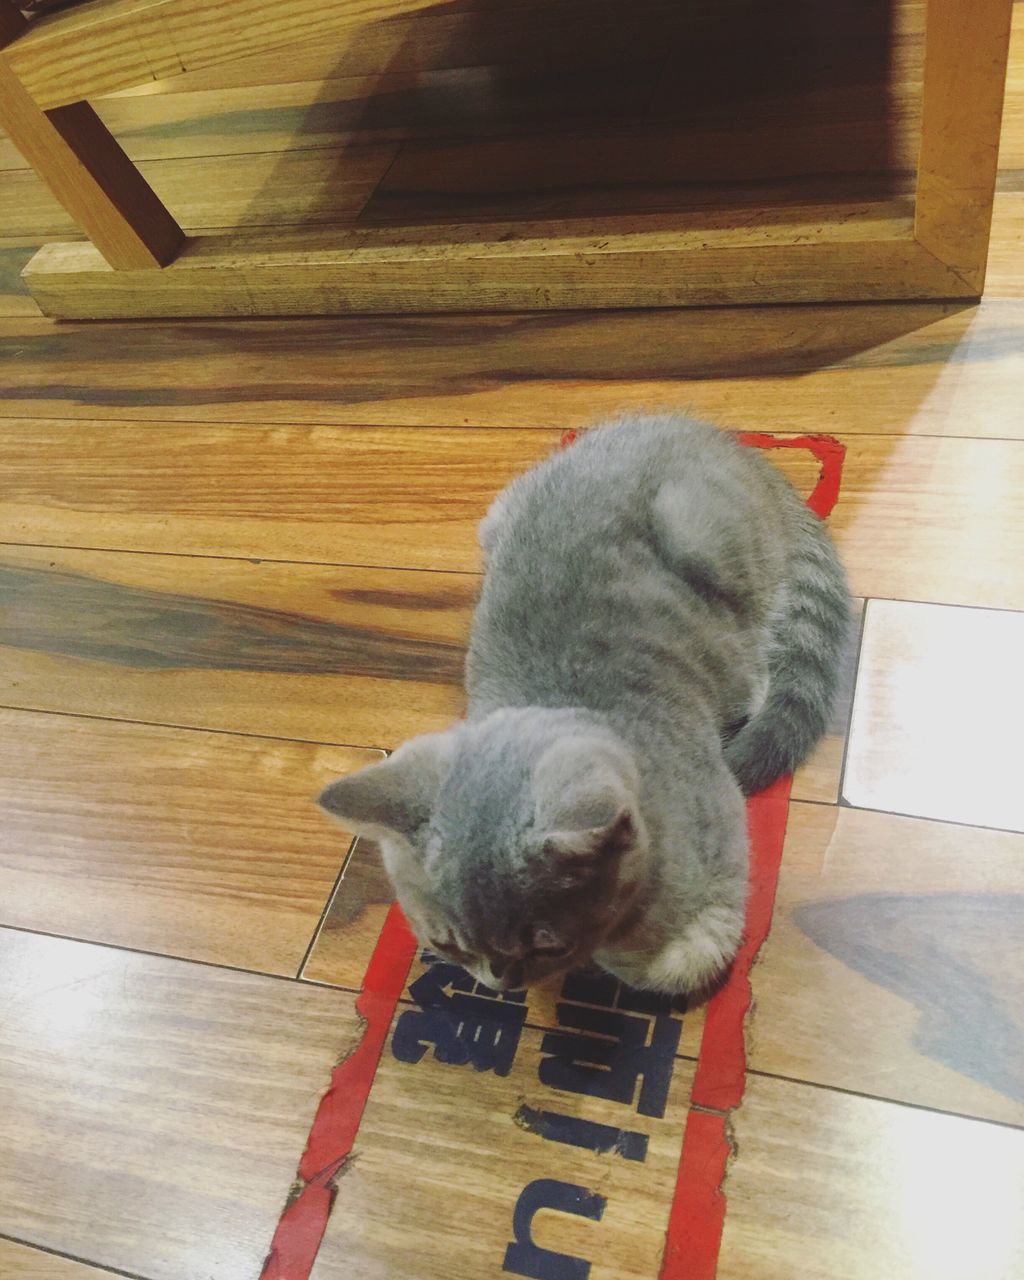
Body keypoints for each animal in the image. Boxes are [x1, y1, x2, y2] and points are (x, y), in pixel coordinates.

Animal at [320, 414, 849, 993]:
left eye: (547, 945)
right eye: (447, 945)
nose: (500, 982)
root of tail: (717, 436)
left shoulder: (723, 845)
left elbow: (677, 958)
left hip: (704, 535)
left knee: (753, 655)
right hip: (498, 518)